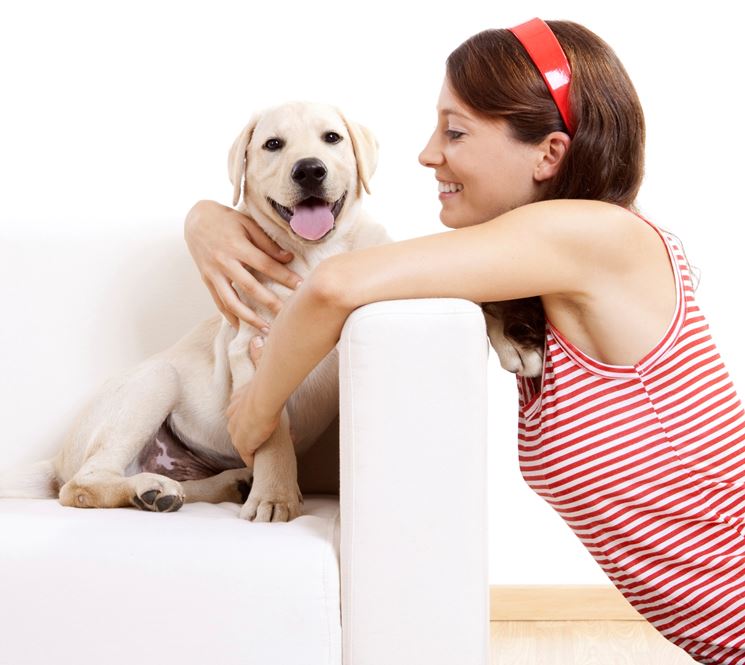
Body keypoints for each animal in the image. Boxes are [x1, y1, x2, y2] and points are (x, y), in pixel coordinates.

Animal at [0, 101, 540, 520]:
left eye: (332, 138)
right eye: (273, 145)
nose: (309, 169)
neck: (315, 255)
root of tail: (56, 461)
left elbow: (478, 295)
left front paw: (516, 339)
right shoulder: (251, 347)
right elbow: (271, 423)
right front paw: (277, 496)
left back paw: (212, 485)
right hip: (152, 382)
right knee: (82, 485)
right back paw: (150, 490)